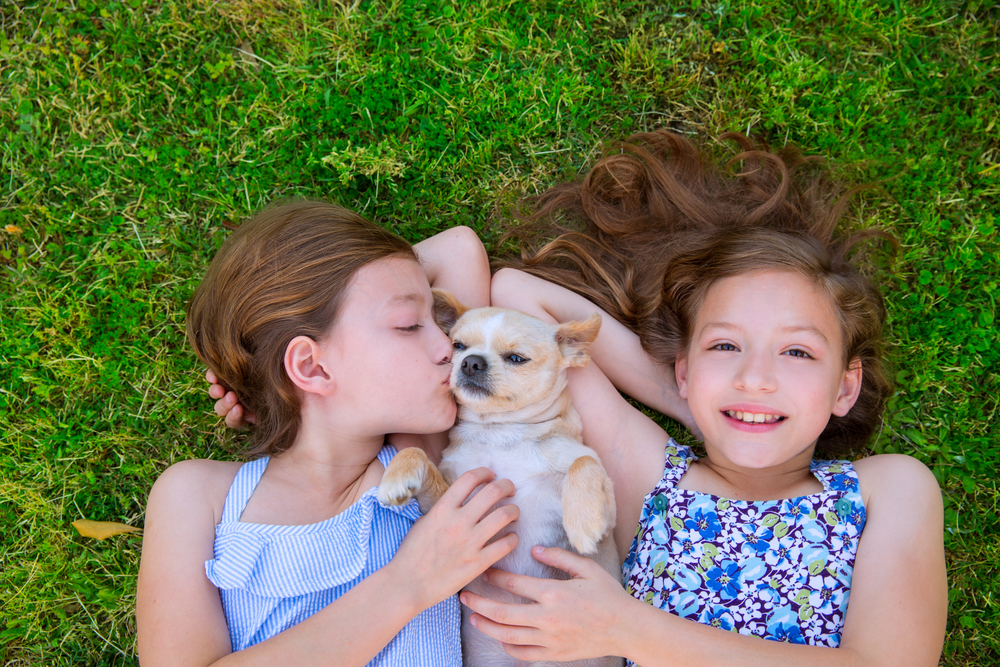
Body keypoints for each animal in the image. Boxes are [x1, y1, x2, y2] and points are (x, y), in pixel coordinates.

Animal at [378, 292, 620, 667]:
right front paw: (396, 476)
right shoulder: (452, 500)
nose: (471, 362)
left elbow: (583, 461)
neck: (499, 433)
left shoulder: (610, 513)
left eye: (517, 358)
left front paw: (583, 523)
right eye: (457, 346)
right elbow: (416, 452)